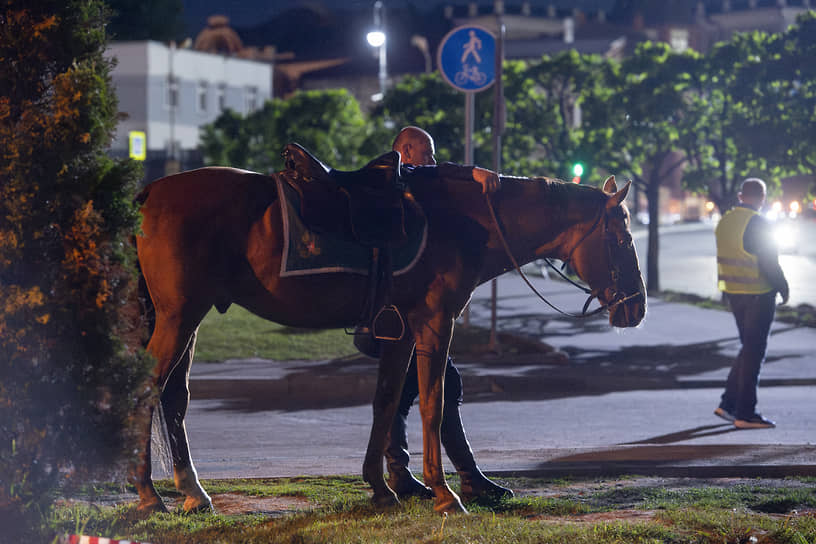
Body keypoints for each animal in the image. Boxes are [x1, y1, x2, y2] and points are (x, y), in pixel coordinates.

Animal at [132, 162, 644, 516]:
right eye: (621, 238)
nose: (637, 307)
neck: (464, 219)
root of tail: (151, 191)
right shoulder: (435, 322)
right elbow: (434, 405)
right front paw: (444, 493)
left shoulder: (398, 331)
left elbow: (386, 401)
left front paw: (381, 487)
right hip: (179, 316)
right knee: (146, 391)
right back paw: (148, 494)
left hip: (188, 319)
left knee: (174, 398)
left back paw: (192, 492)